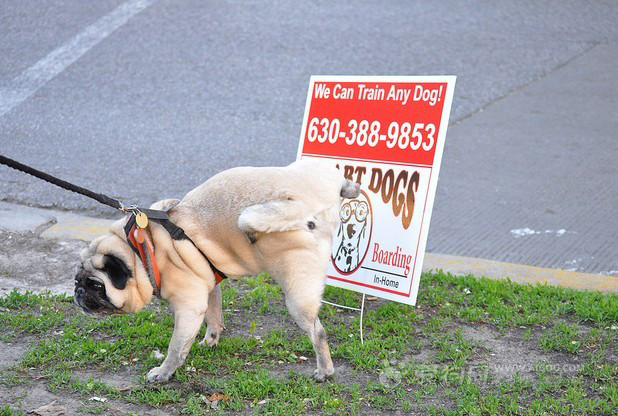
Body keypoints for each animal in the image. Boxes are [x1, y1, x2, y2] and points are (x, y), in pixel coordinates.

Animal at [74, 159, 358, 384]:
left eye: (97, 286)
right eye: (77, 280)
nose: (78, 292)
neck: (143, 249)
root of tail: (307, 199)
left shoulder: (189, 308)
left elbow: (176, 347)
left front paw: (164, 373)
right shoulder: (209, 285)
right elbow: (214, 316)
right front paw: (210, 341)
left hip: (297, 292)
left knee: (318, 332)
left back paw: (325, 371)